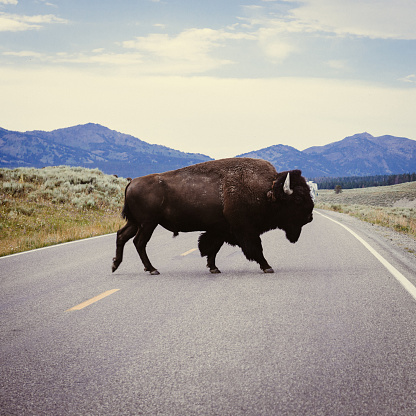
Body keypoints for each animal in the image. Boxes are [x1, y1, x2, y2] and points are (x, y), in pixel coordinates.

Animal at [110, 158, 312, 274]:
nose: (310, 217)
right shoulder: (245, 230)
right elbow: (256, 249)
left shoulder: (220, 230)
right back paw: (152, 269)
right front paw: (267, 267)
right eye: (298, 198)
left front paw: (214, 268)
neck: (267, 191)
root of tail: (131, 183)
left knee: (122, 236)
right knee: (139, 242)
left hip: (136, 222)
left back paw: (116, 265)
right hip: (148, 223)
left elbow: (212, 248)